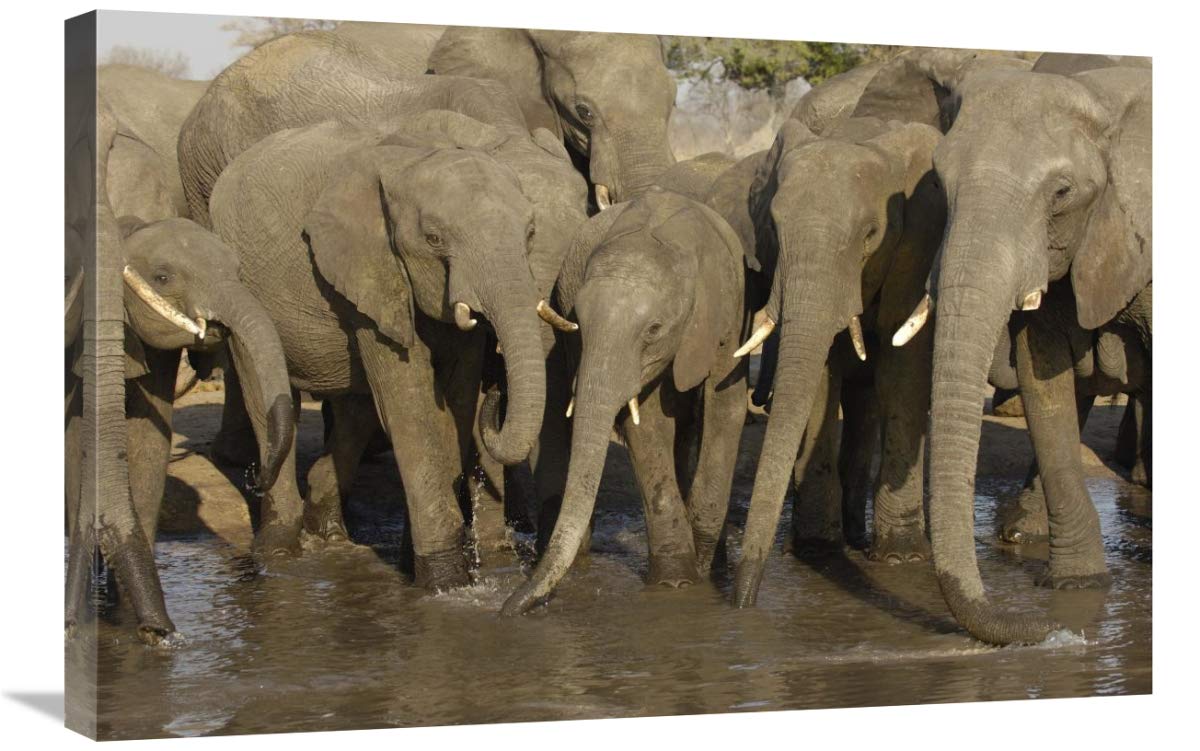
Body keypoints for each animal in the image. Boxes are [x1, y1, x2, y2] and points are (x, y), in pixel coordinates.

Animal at [207, 112, 586, 584]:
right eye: (434, 239)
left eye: (529, 232)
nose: (498, 392)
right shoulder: (371, 270)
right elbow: (411, 406)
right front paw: (445, 583)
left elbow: (455, 404)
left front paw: (424, 567)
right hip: (240, 286)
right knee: (270, 398)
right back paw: (278, 552)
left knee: (355, 411)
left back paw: (326, 530)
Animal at [502, 189, 749, 615]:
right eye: (578, 324)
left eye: (654, 329)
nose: (504, 609)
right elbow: (645, 426)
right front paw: (676, 582)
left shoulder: (726, 311)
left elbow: (725, 406)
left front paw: (698, 575)